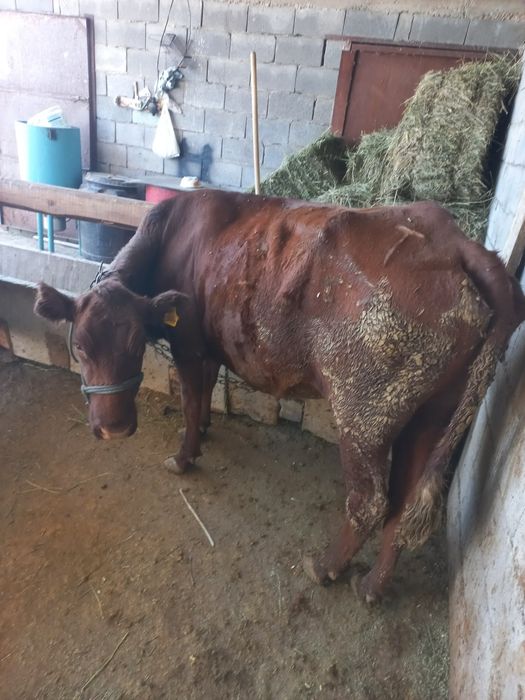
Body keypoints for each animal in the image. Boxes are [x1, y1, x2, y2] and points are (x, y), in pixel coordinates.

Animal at [34, 189, 525, 603]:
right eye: (81, 345)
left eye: (136, 343)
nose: (114, 429)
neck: (172, 235)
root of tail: (455, 240)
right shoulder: (209, 347)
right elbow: (206, 393)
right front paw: (206, 432)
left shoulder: (189, 344)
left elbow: (192, 402)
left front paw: (184, 456)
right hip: (431, 412)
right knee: (403, 507)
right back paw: (372, 587)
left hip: (364, 413)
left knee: (369, 503)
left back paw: (325, 568)